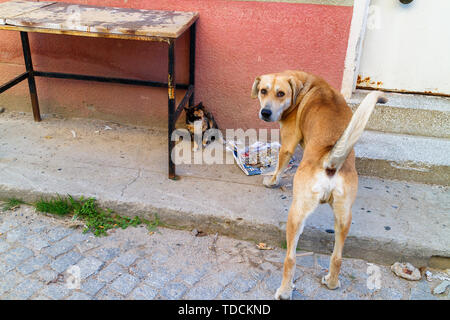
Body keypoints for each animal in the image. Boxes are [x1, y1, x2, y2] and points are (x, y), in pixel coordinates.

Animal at [250, 70, 386, 300]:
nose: (265, 112)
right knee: (337, 257)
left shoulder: (288, 142)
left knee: (291, 258)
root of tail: (330, 161)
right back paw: (331, 282)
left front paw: (272, 180)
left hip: (296, 214)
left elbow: (280, 164)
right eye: (263, 90)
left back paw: (284, 291)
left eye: (280, 93)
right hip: (344, 217)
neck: (305, 86)